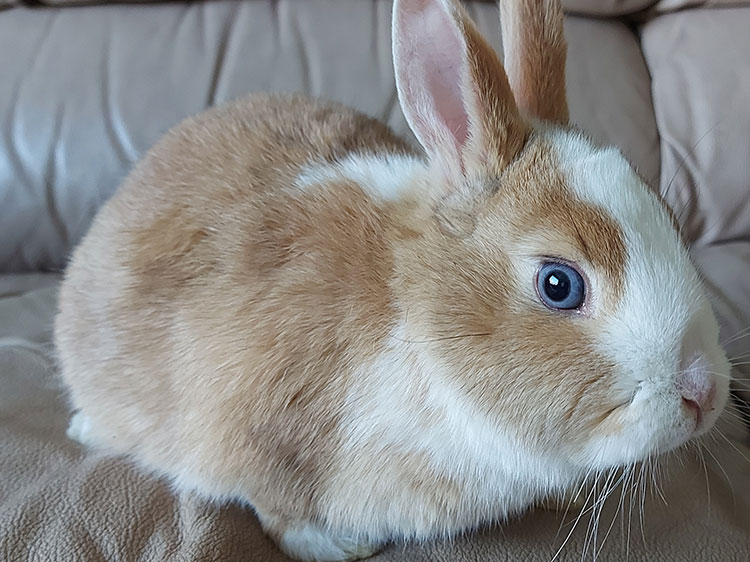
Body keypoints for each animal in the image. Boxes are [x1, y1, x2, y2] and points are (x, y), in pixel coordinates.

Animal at [54, 1, 736, 560]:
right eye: (559, 284)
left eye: (671, 217)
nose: (705, 392)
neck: (414, 321)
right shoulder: (247, 429)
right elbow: (277, 507)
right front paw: (336, 547)